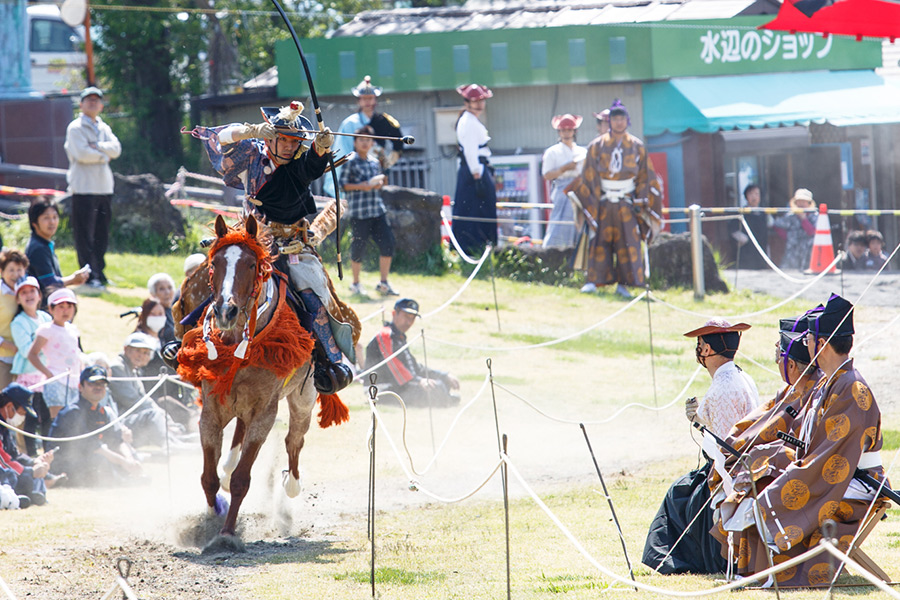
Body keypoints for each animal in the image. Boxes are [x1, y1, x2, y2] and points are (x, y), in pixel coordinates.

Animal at [176, 216, 348, 552]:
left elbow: (243, 479)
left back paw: (291, 484)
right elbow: (208, 477)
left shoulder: (265, 413)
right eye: (214, 263)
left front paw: (227, 534)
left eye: (252, 264)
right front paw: (211, 520)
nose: (225, 311)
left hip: (304, 397)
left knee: (294, 441)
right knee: (236, 445)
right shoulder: (211, 410)